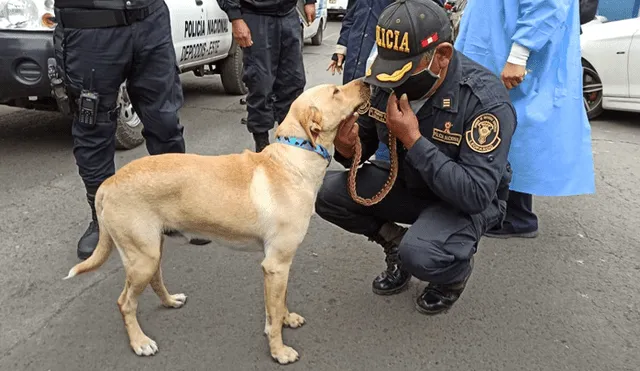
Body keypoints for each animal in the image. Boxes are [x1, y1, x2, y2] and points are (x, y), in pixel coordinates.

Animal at [64, 79, 370, 366]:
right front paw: (279, 351)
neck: (293, 158)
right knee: (125, 302)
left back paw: (170, 301)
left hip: (151, 251)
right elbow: (272, 318)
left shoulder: (280, 266)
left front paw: (286, 319)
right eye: (335, 92)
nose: (367, 82)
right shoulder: (276, 265)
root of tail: (108, 183)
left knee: (154, 280)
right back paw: (140, 342)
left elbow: (279, 302)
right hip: (142, 258)